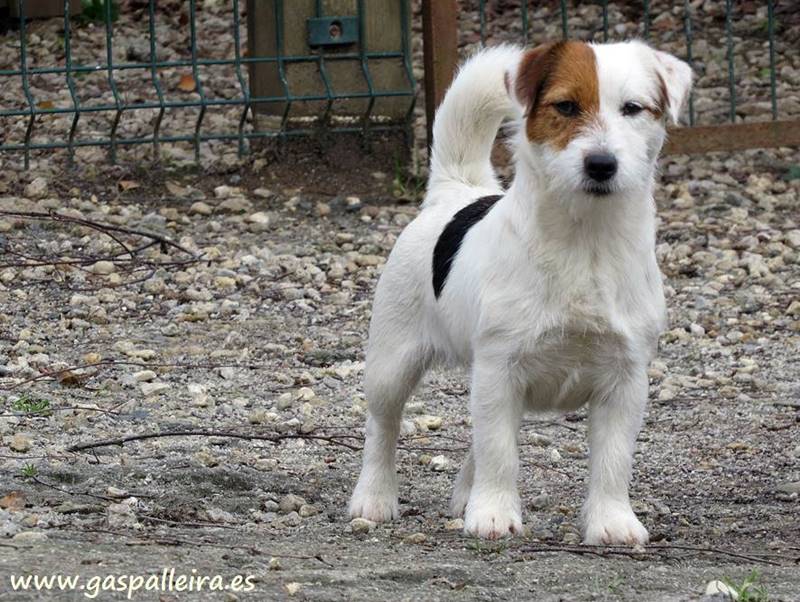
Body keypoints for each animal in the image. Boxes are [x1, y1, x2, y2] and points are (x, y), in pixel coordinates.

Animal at [349, 40, 692, 542]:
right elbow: (499, 453)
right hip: (393, 363)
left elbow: (612, 461)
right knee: (384, 426)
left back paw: (465, 494)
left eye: (632, 109)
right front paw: (493, 512)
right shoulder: (500, 367)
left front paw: (612, 521)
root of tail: (457, 191)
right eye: (565, 107)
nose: (601, 164)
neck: (584, 242)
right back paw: (374, 497)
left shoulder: (625, 380)